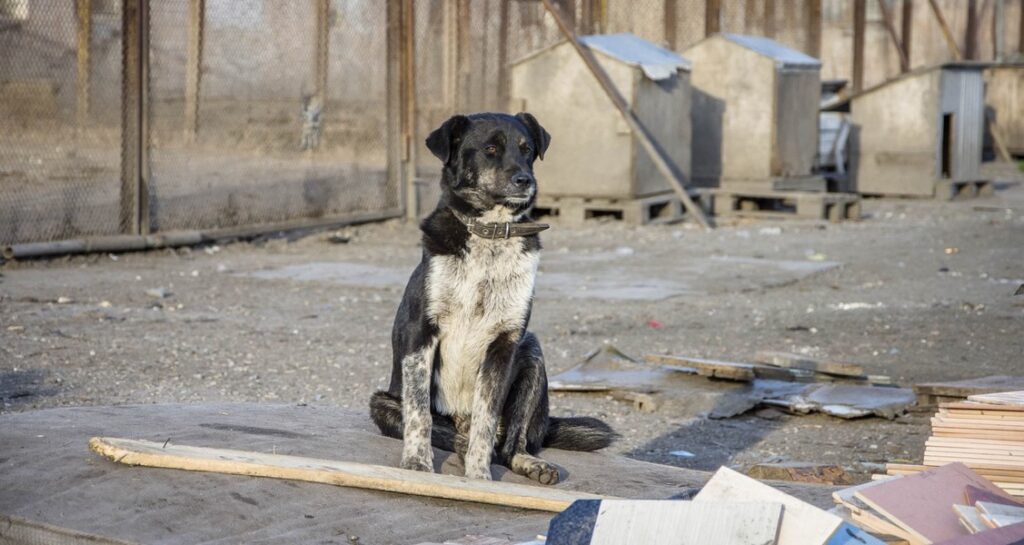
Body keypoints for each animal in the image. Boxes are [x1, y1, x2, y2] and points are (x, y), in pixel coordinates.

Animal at [372, 112, 618, 483]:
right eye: (490, 149)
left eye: (526, 149)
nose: (525, 180)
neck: (491, 234)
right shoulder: (421, 335)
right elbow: (419, 415)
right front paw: (417, 465)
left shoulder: (503, 344)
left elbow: (485, 424)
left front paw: (479, 479)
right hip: (382, 402)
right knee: (445, 431)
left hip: (532, 356)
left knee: (508, 445)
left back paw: (529, 463)